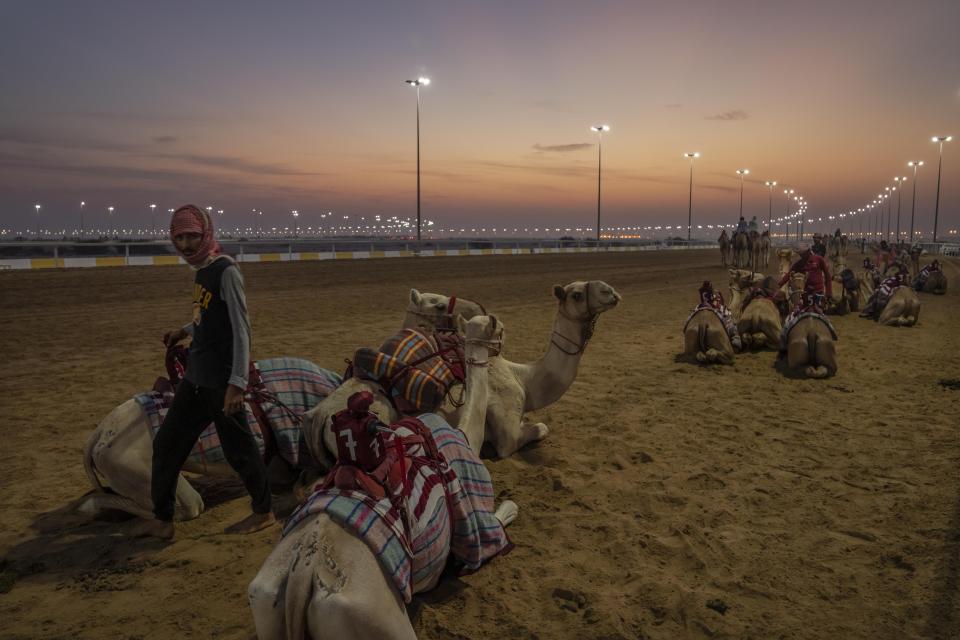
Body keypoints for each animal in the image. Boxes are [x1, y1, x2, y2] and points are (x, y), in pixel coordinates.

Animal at [248, 316, 516, 640]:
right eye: (495, 328)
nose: (503, 335)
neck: (465, 432)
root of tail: (302, 576)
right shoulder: (477, 521)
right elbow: (499, 522)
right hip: (376, 621)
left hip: (265, 602)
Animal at [304, 280, 628, 460]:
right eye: (576, 294)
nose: (611, 292)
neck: (525, 379)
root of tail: (318, 417)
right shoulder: (508, 433)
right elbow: (536, 430)